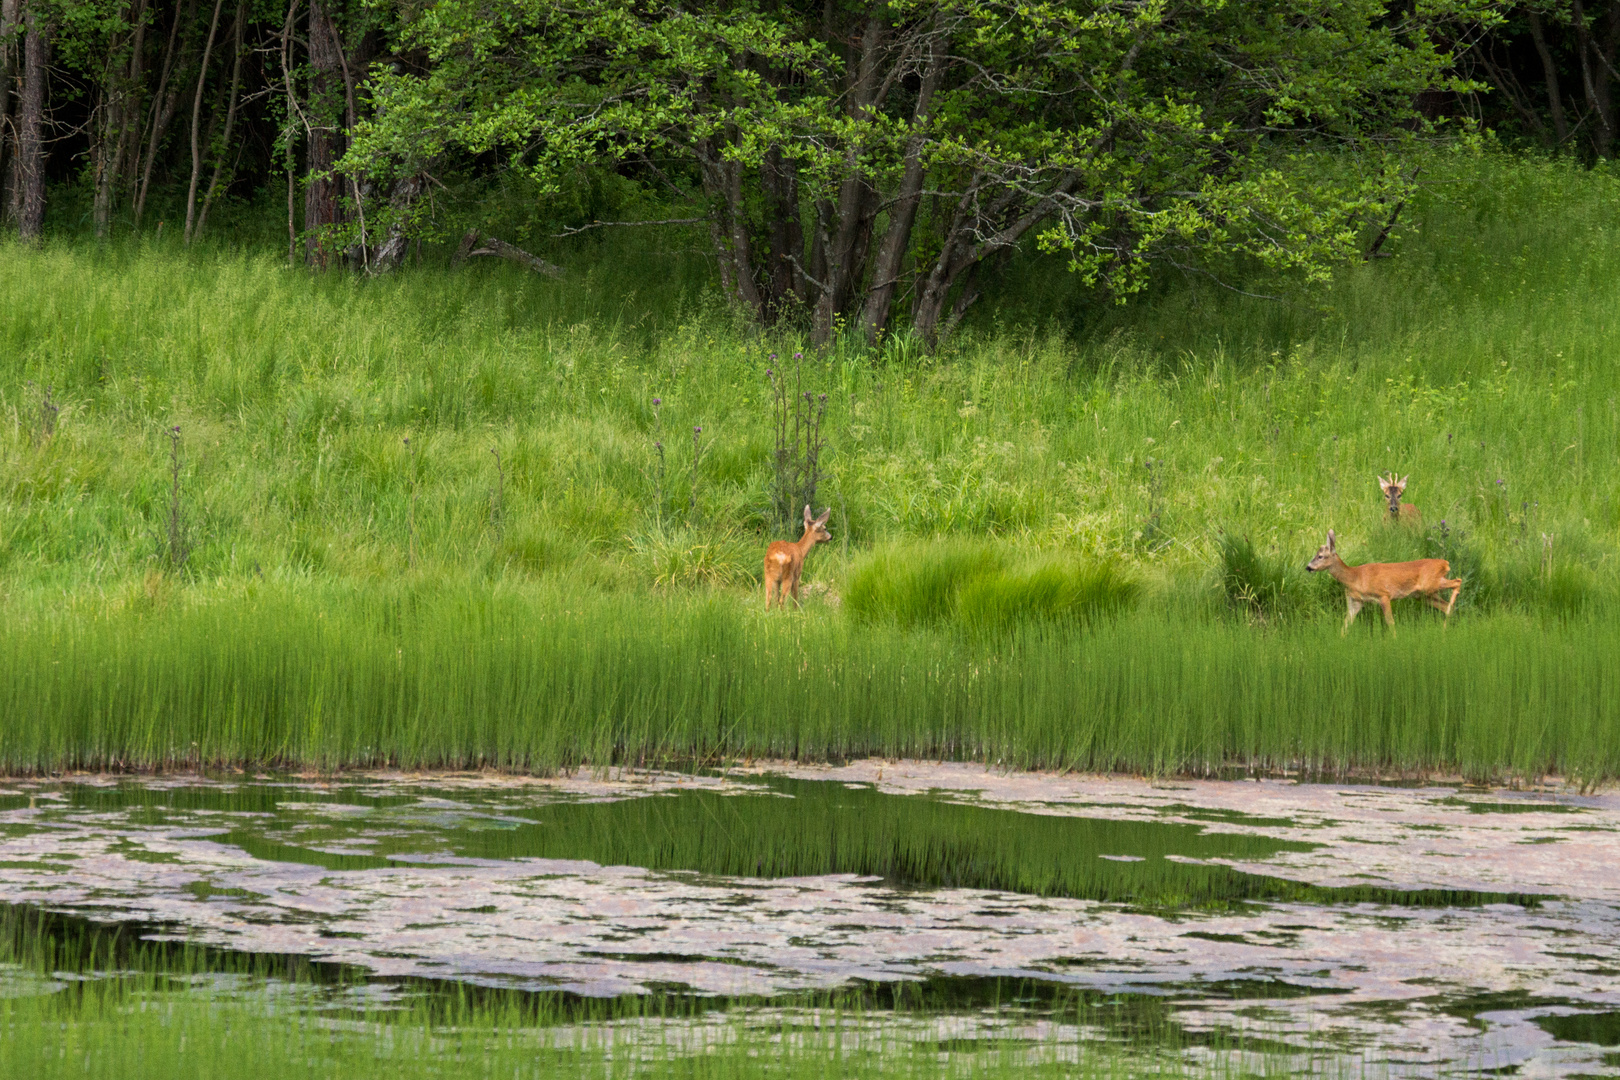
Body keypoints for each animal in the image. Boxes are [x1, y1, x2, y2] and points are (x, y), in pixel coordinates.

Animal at [1308, 531, 1464, 634]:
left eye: (1320, 556)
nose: (1308, 567)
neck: (1355, 577)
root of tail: (1445, 563)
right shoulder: (1355, 601)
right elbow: (1346, 624)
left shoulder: (1383, 594)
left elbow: (1390, 622)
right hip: (1425, 595)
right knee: (1446, 606)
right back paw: (1445, 629)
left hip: (1430, 585)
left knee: (1458, 581)